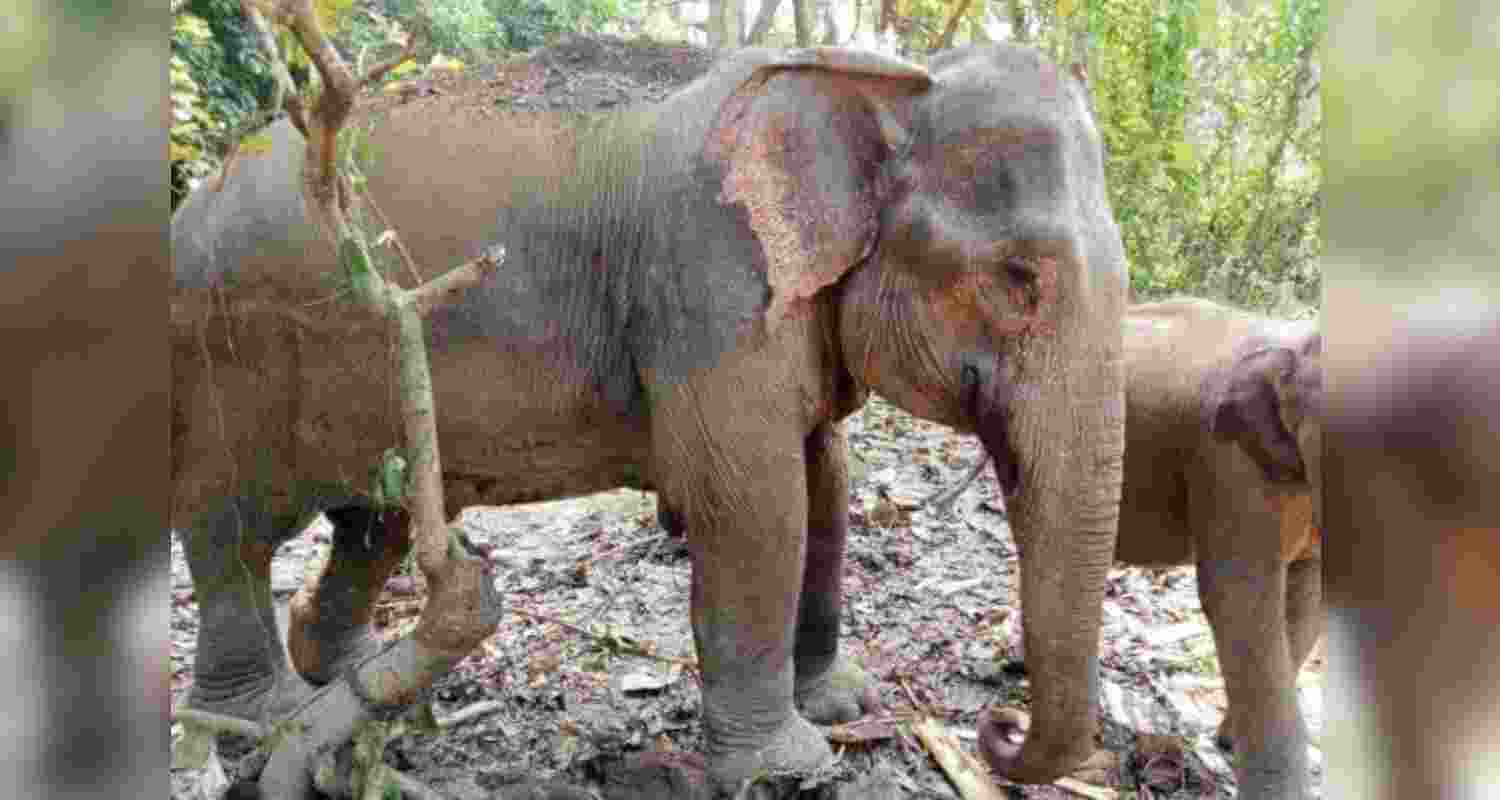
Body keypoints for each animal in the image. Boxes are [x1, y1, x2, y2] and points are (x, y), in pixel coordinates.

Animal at [171, 43, 1128, 793]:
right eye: (1018, 279)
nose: (998, 729)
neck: (879, 79)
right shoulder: (708, 284)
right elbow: (752, 504)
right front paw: (787, 768)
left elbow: (825, 480)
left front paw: (842, 703)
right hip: (228, 351)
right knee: (233, 527)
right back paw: (257, 724)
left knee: (377, 525)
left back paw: (355, 678)